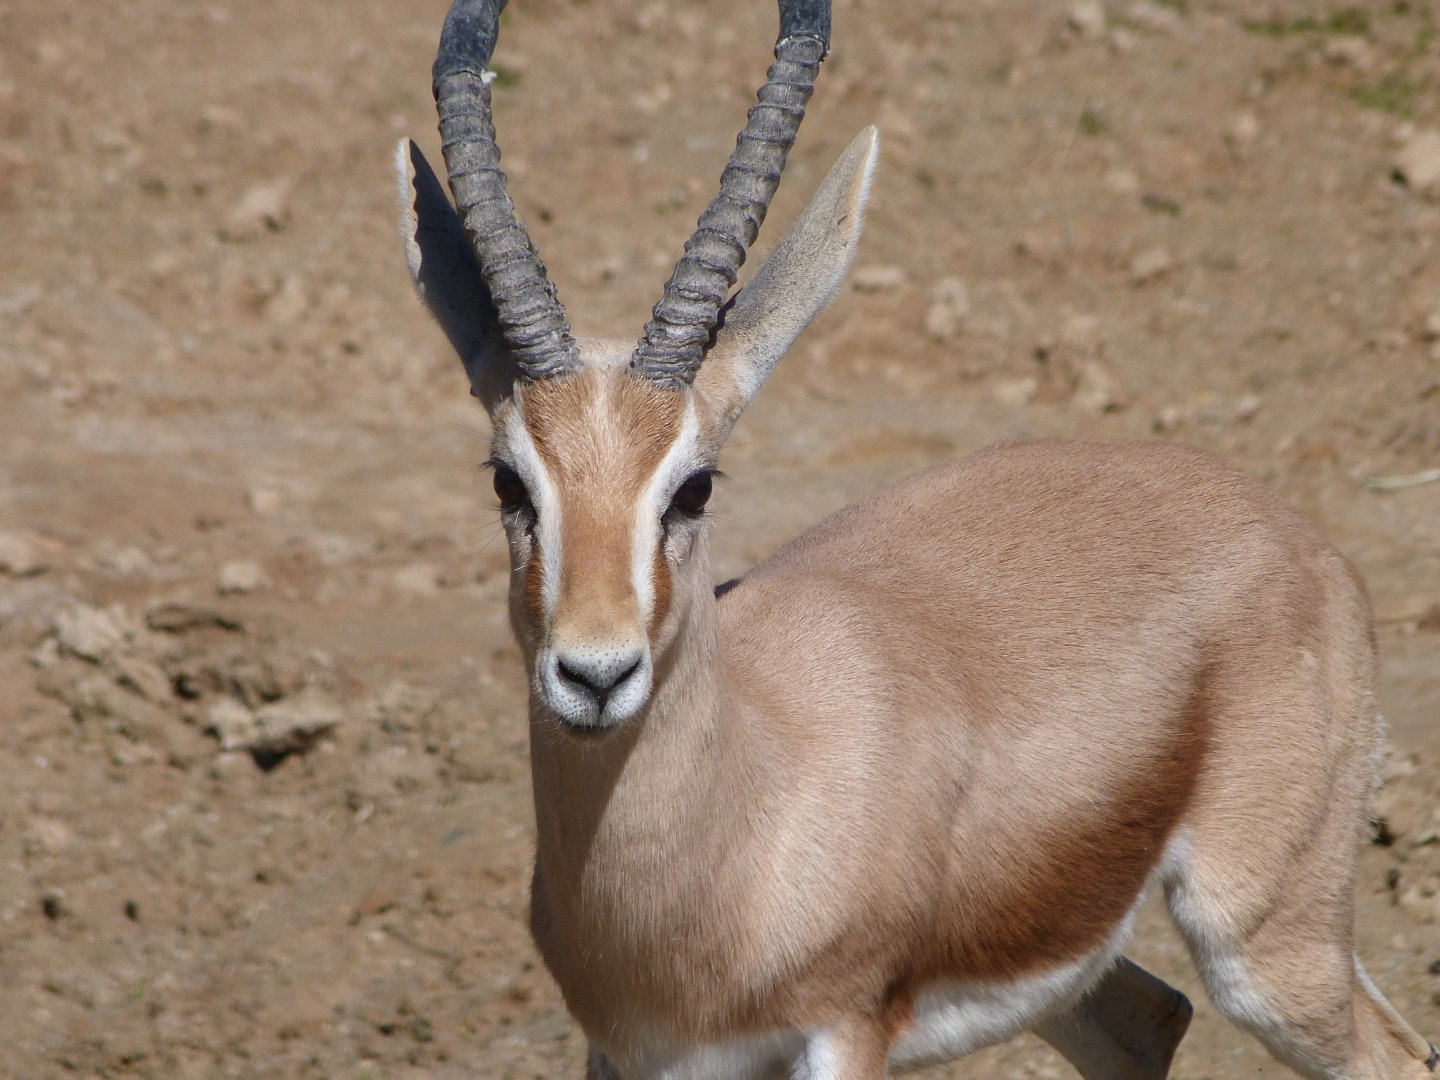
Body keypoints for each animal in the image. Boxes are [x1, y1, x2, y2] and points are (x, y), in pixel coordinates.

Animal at [395, 0, 1438, 1076]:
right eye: (508, 480)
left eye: (694, 487)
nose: (594, 673)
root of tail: (1295, 531)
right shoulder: (629, 1057)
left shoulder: (847, 1030)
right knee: (1150, 1018)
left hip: (1269, 943)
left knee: (1387, 1051)